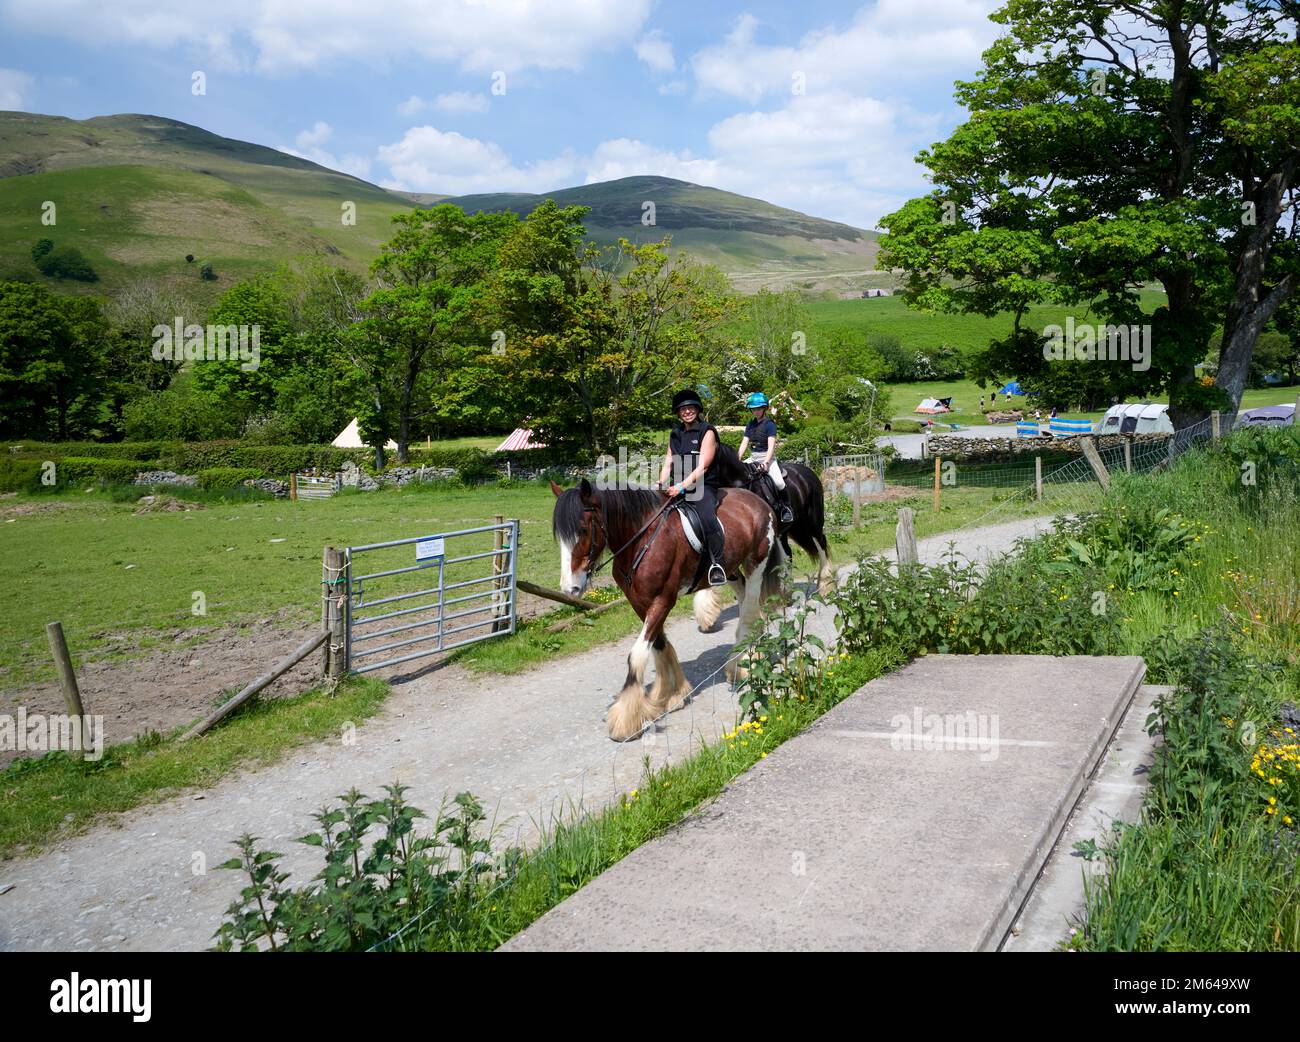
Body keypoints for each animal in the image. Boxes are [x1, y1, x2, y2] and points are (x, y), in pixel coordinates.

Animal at [551, 478, 785, 741]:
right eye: (559, 537)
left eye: (582, 530)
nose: (569, 588)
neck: (641, 540)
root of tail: (758, 501)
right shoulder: (640, 602)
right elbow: (659, 645)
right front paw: (672, 695)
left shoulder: (663, 600)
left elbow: (637, 655)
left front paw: (626, 720)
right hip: (731, 569)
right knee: (747, 604)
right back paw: (753, 652)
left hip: (757, 563)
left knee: (748, 612)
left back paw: (742, 665)